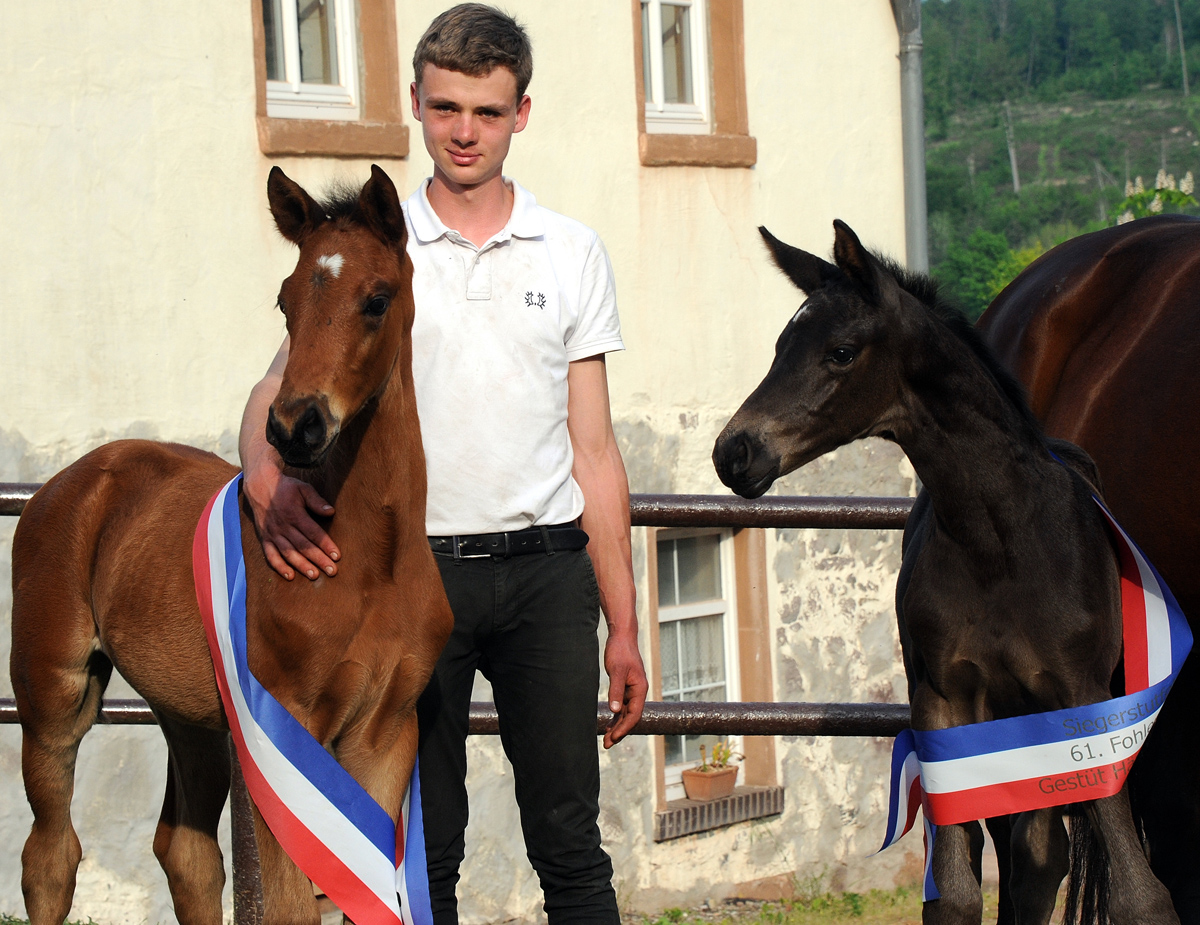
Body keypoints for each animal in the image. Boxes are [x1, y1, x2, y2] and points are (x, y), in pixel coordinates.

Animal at [10, 167, 451, 925]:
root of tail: (70, 482)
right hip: (53, 695)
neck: (374, 561)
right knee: (49, 857)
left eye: (377, 300)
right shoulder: (282, 733)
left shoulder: (385, 734)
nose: (295, 425)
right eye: (285, 301)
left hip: (188, 715)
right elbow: (290, 904)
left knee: (185, 854)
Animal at [715, 220, 1176, 921]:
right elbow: (956, 892)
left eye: (841, 352)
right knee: (1031, 859)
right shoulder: (943, 705)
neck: (999, 543)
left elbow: (1137, 891)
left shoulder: (1085, 701)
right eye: (779, 347)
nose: (734, 452)